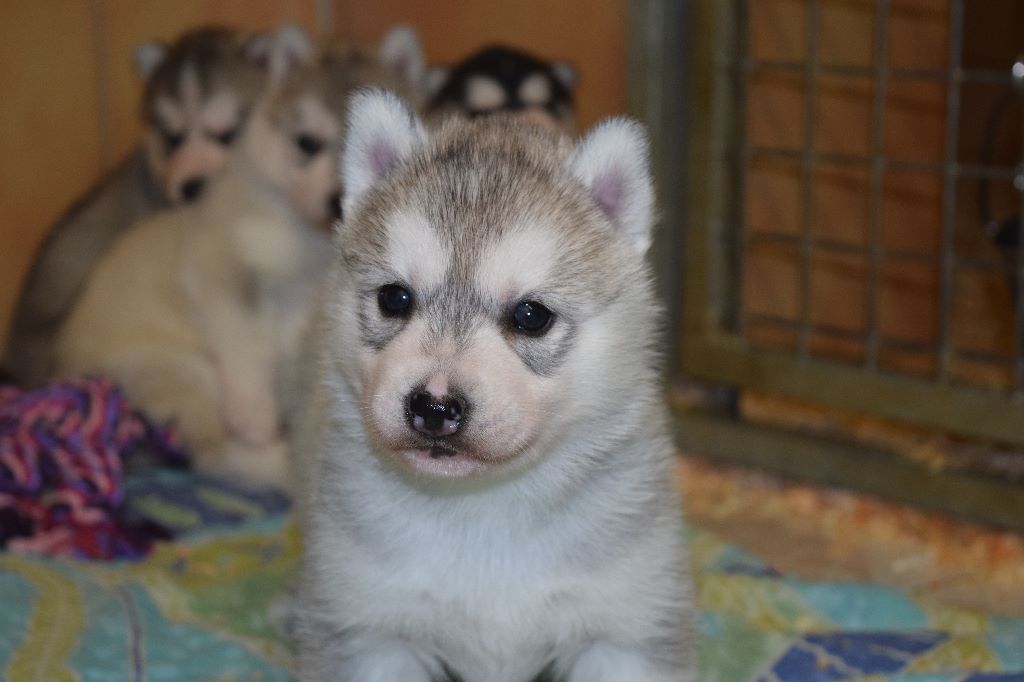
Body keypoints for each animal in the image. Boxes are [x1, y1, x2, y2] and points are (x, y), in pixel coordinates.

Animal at [54, 29, 427, 487]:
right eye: (307, 143)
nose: (336, 196)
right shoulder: (225, 270)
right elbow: (244, 346)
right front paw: (258, 418)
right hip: (179, 373)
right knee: (215, 454)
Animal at [294, 90, 696, 681]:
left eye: (531, 315)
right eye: (394, 297)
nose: (434, 405)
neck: (483, 507)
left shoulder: (622, 631)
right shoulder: (371, 631)